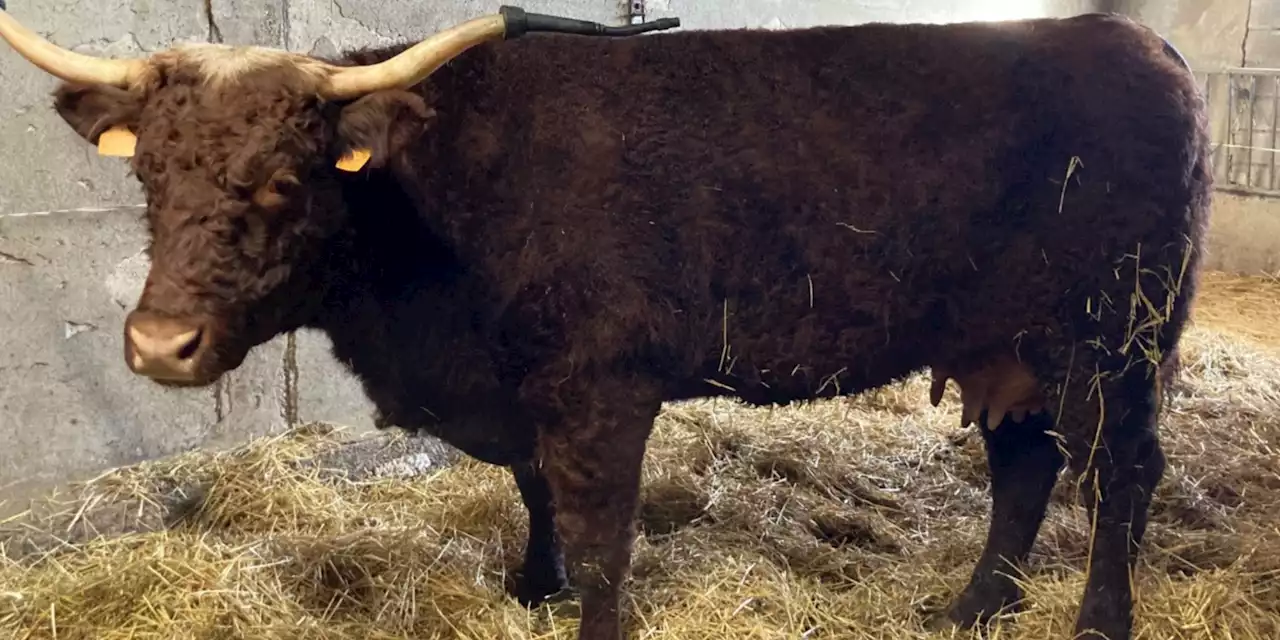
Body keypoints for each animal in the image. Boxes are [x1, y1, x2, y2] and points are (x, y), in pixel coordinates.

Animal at [0, 6, 1208, 640]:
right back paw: (973, 607)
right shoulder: (522, 385)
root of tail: (1122, 37)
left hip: (1113, 339)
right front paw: (531, 588)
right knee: (1024, 467)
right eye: (149, 176)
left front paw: (586, 611)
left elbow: (597, 526)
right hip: (1009, 347)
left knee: (1121, 475)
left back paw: (1097, 620)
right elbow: (532, 489)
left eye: (284, 181)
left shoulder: (600, 384)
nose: (158, 346)